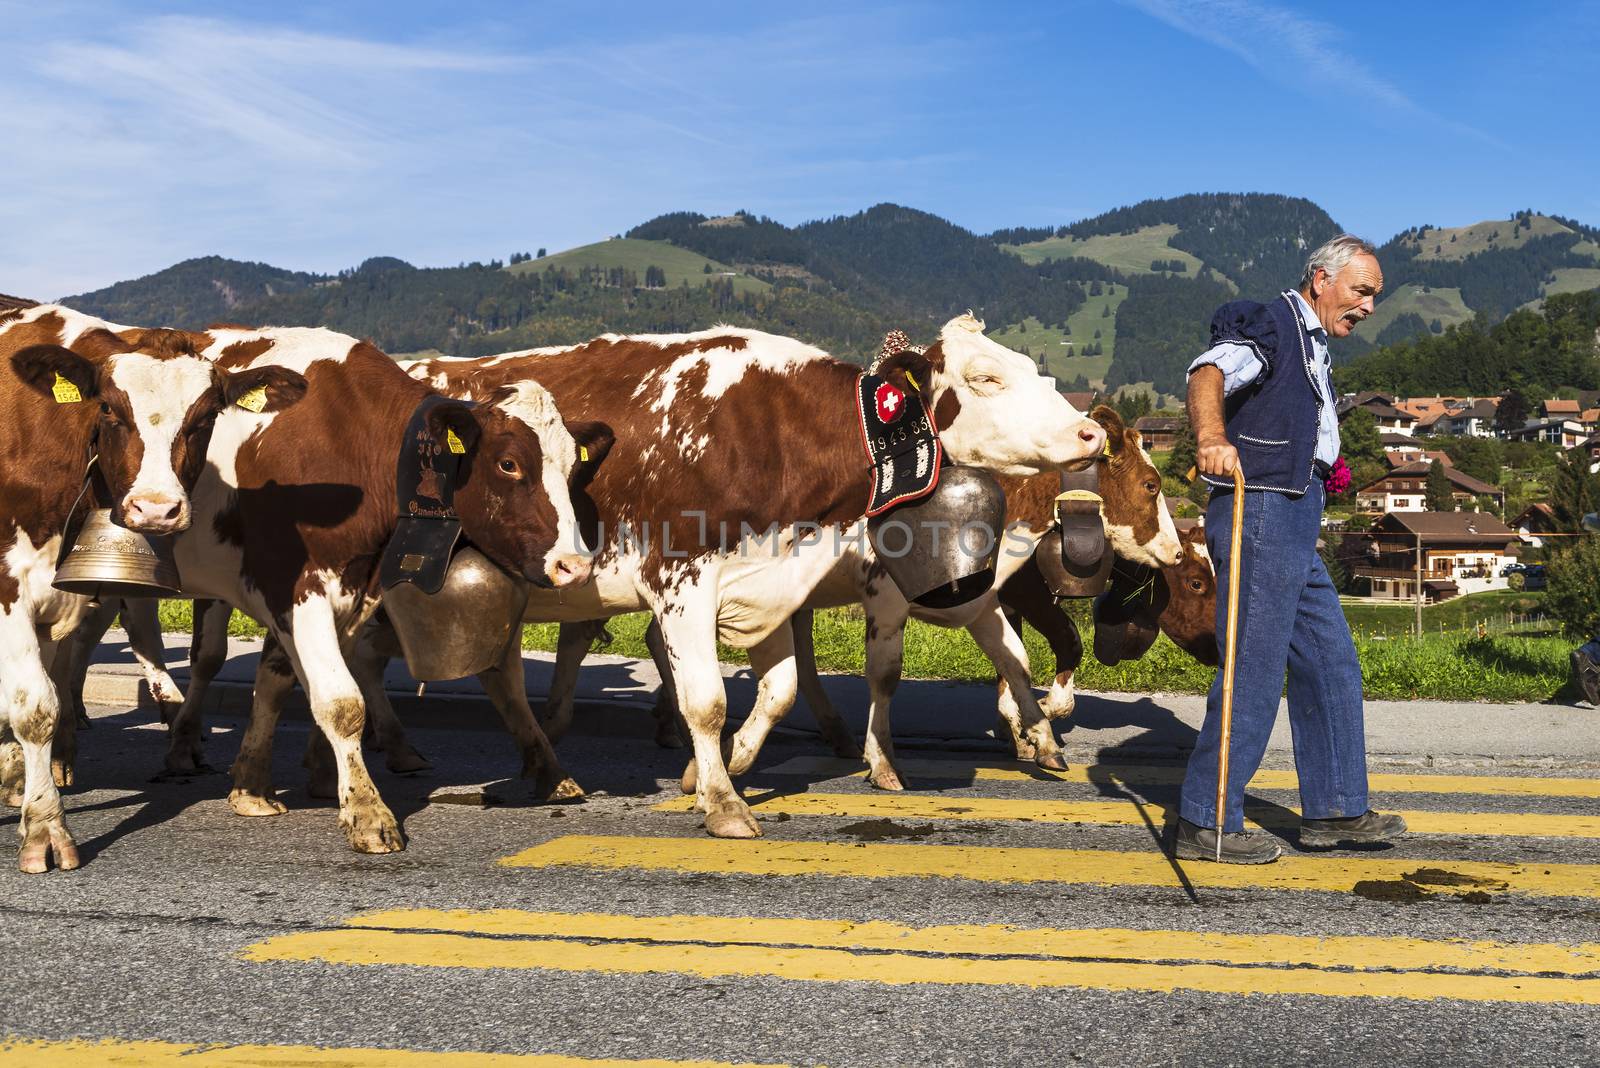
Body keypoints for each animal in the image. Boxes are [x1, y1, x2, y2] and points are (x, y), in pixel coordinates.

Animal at [0, 303, 305, 869]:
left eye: (205, 419)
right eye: (109, 410)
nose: (156, 510)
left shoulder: (60, 596)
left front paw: (24, 787)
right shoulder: (10, 587)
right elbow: (36, 707)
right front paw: (46, 830)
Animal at [157, 326, 604, 850]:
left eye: (573, 468)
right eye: (509, 463)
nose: (575, 565)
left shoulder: (346, 589)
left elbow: (281, 681)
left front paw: (261, 784)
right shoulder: (294, 587)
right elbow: (341, 701)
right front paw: (368, 813)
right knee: (192, 656)